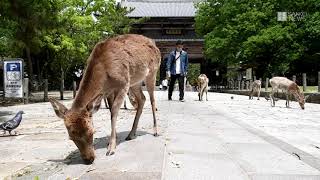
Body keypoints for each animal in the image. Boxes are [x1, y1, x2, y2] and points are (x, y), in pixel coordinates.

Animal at [48, 34, 161, 165]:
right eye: (71, 137)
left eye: (92, 132)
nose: (89, 159)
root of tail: (155, 45)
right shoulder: (109, 92)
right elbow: (111, 111)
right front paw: (112, 142)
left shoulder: (123, 84)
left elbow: (114, 113)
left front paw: (111, 149)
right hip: (135, 81)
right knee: (142, 98)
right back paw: (131, 134)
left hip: (152, 73)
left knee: (152, 100)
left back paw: (155, 131)